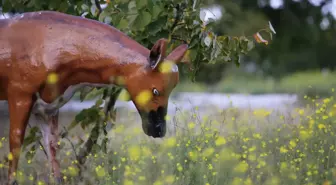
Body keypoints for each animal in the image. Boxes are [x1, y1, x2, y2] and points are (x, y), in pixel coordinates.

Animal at [0, 10, 188, 184]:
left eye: (172, 88)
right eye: (155, 90)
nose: (159, 130)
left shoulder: (48, 108)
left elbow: (53, 152)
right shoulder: (20, 94)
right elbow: (15, 145)